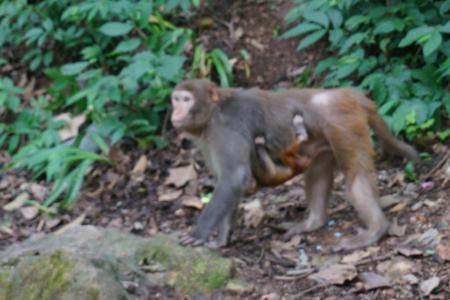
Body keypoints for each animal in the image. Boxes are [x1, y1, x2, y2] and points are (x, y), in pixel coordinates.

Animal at [170, 78, 418, 250]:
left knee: (355, 175)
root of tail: (348, 93)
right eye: (176, 99)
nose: (175, 111)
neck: (213, 112)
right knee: (318, 170)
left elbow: (235, 177)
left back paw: (377, 228)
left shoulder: (225, 128)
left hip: (340, 119)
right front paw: (222, 239)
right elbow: (228, 181)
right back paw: (313, 222)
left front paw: (197, 234)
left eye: (186, 99)